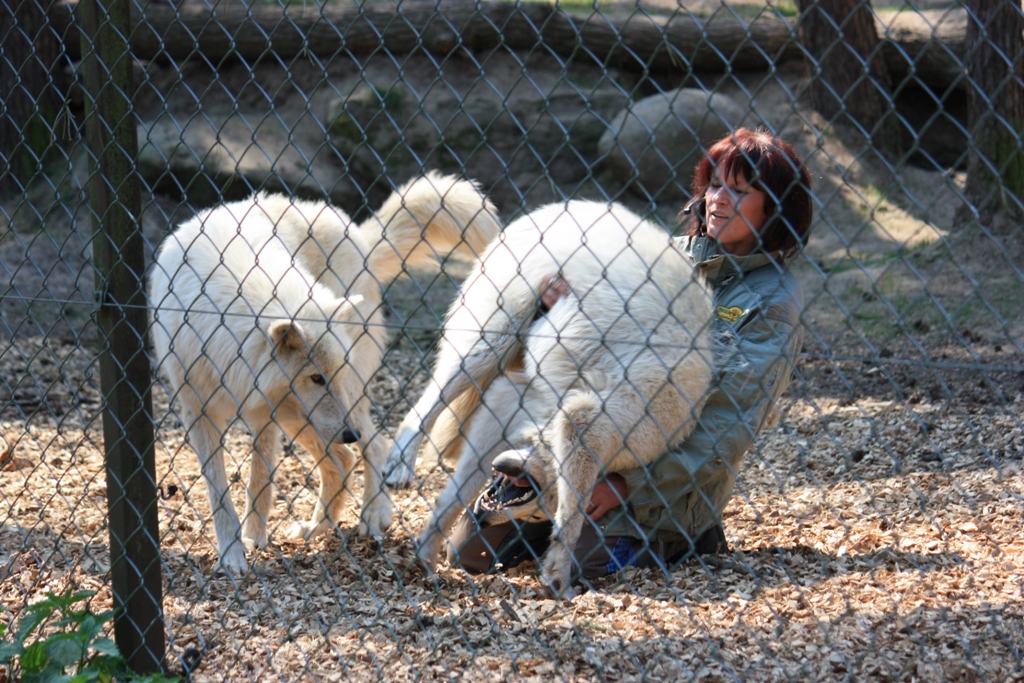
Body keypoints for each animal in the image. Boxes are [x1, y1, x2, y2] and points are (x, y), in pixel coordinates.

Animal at [150, 174, 499, 573]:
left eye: (329, 375)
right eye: (315, 377)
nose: (349, 433)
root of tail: (358, 238)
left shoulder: (264, 413)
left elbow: (259, 479)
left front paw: (252, 538)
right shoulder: (202, 411)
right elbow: (221, 491)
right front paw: (235, 552)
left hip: (332, 405)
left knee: (372, 446)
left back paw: (370, 518)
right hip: (304, 417)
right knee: (345, 459)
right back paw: (319, 526)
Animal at [387, 200, 716, 593]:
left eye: (535, 515)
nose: (486, 519)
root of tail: (549, 209)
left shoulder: (508, 402)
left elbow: (453, 496)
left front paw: (425, 554)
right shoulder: (585, 421)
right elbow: (570, 519)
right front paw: (558, 577)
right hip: (488, 344)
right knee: (421, 409)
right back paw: (399, 464)